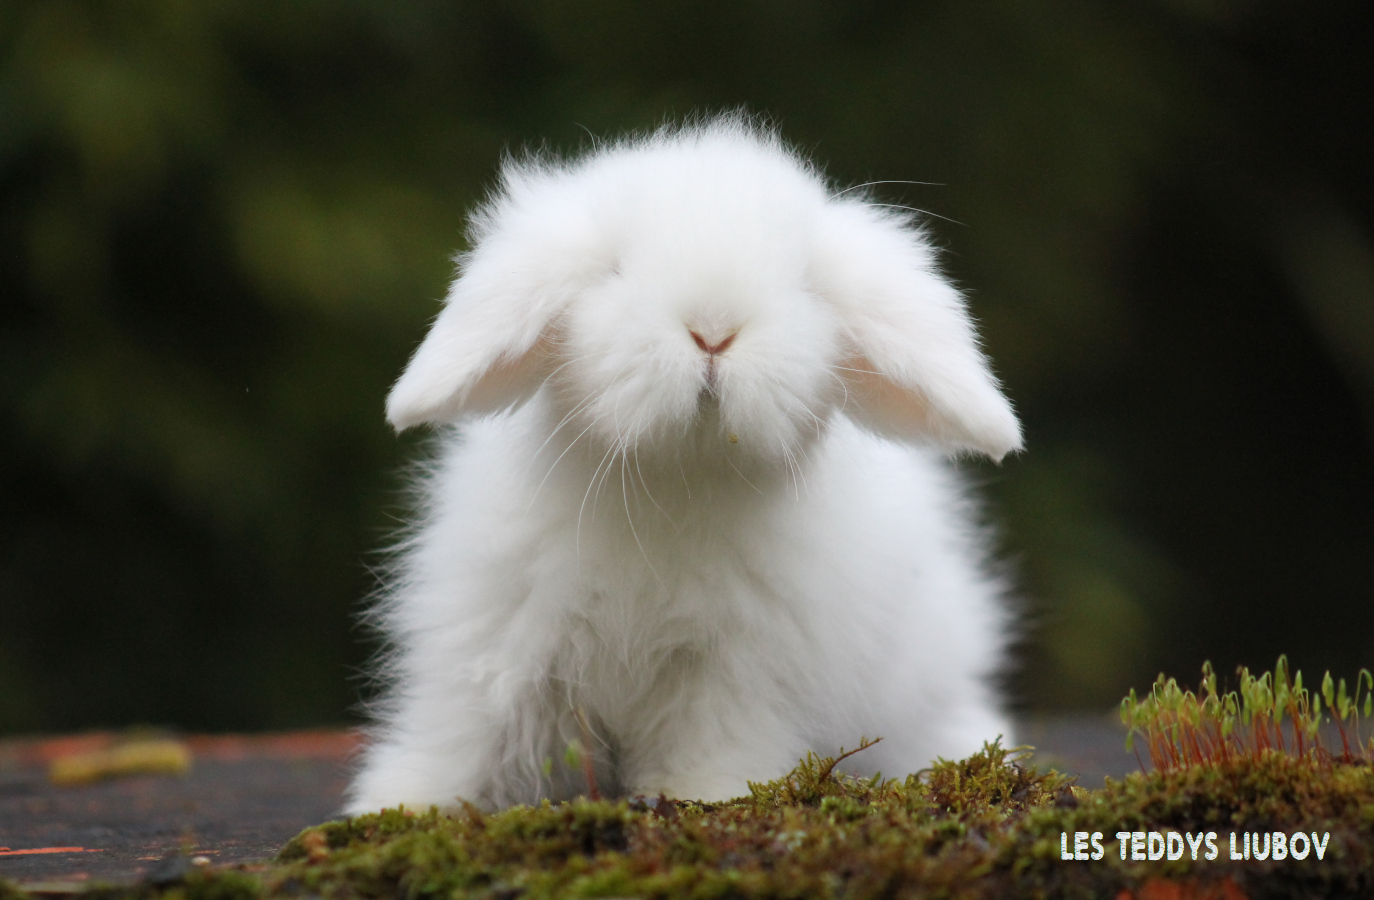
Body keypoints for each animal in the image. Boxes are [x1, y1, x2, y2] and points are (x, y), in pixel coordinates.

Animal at [345, 115, 1022, 814]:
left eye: (804, 286)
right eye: (614, 270)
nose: (713, 331)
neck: (674, 484)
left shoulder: (733, 670)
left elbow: (712, 736)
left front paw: (704, 794)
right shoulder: (494, 645)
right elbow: (466, 733)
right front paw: (402, 802)